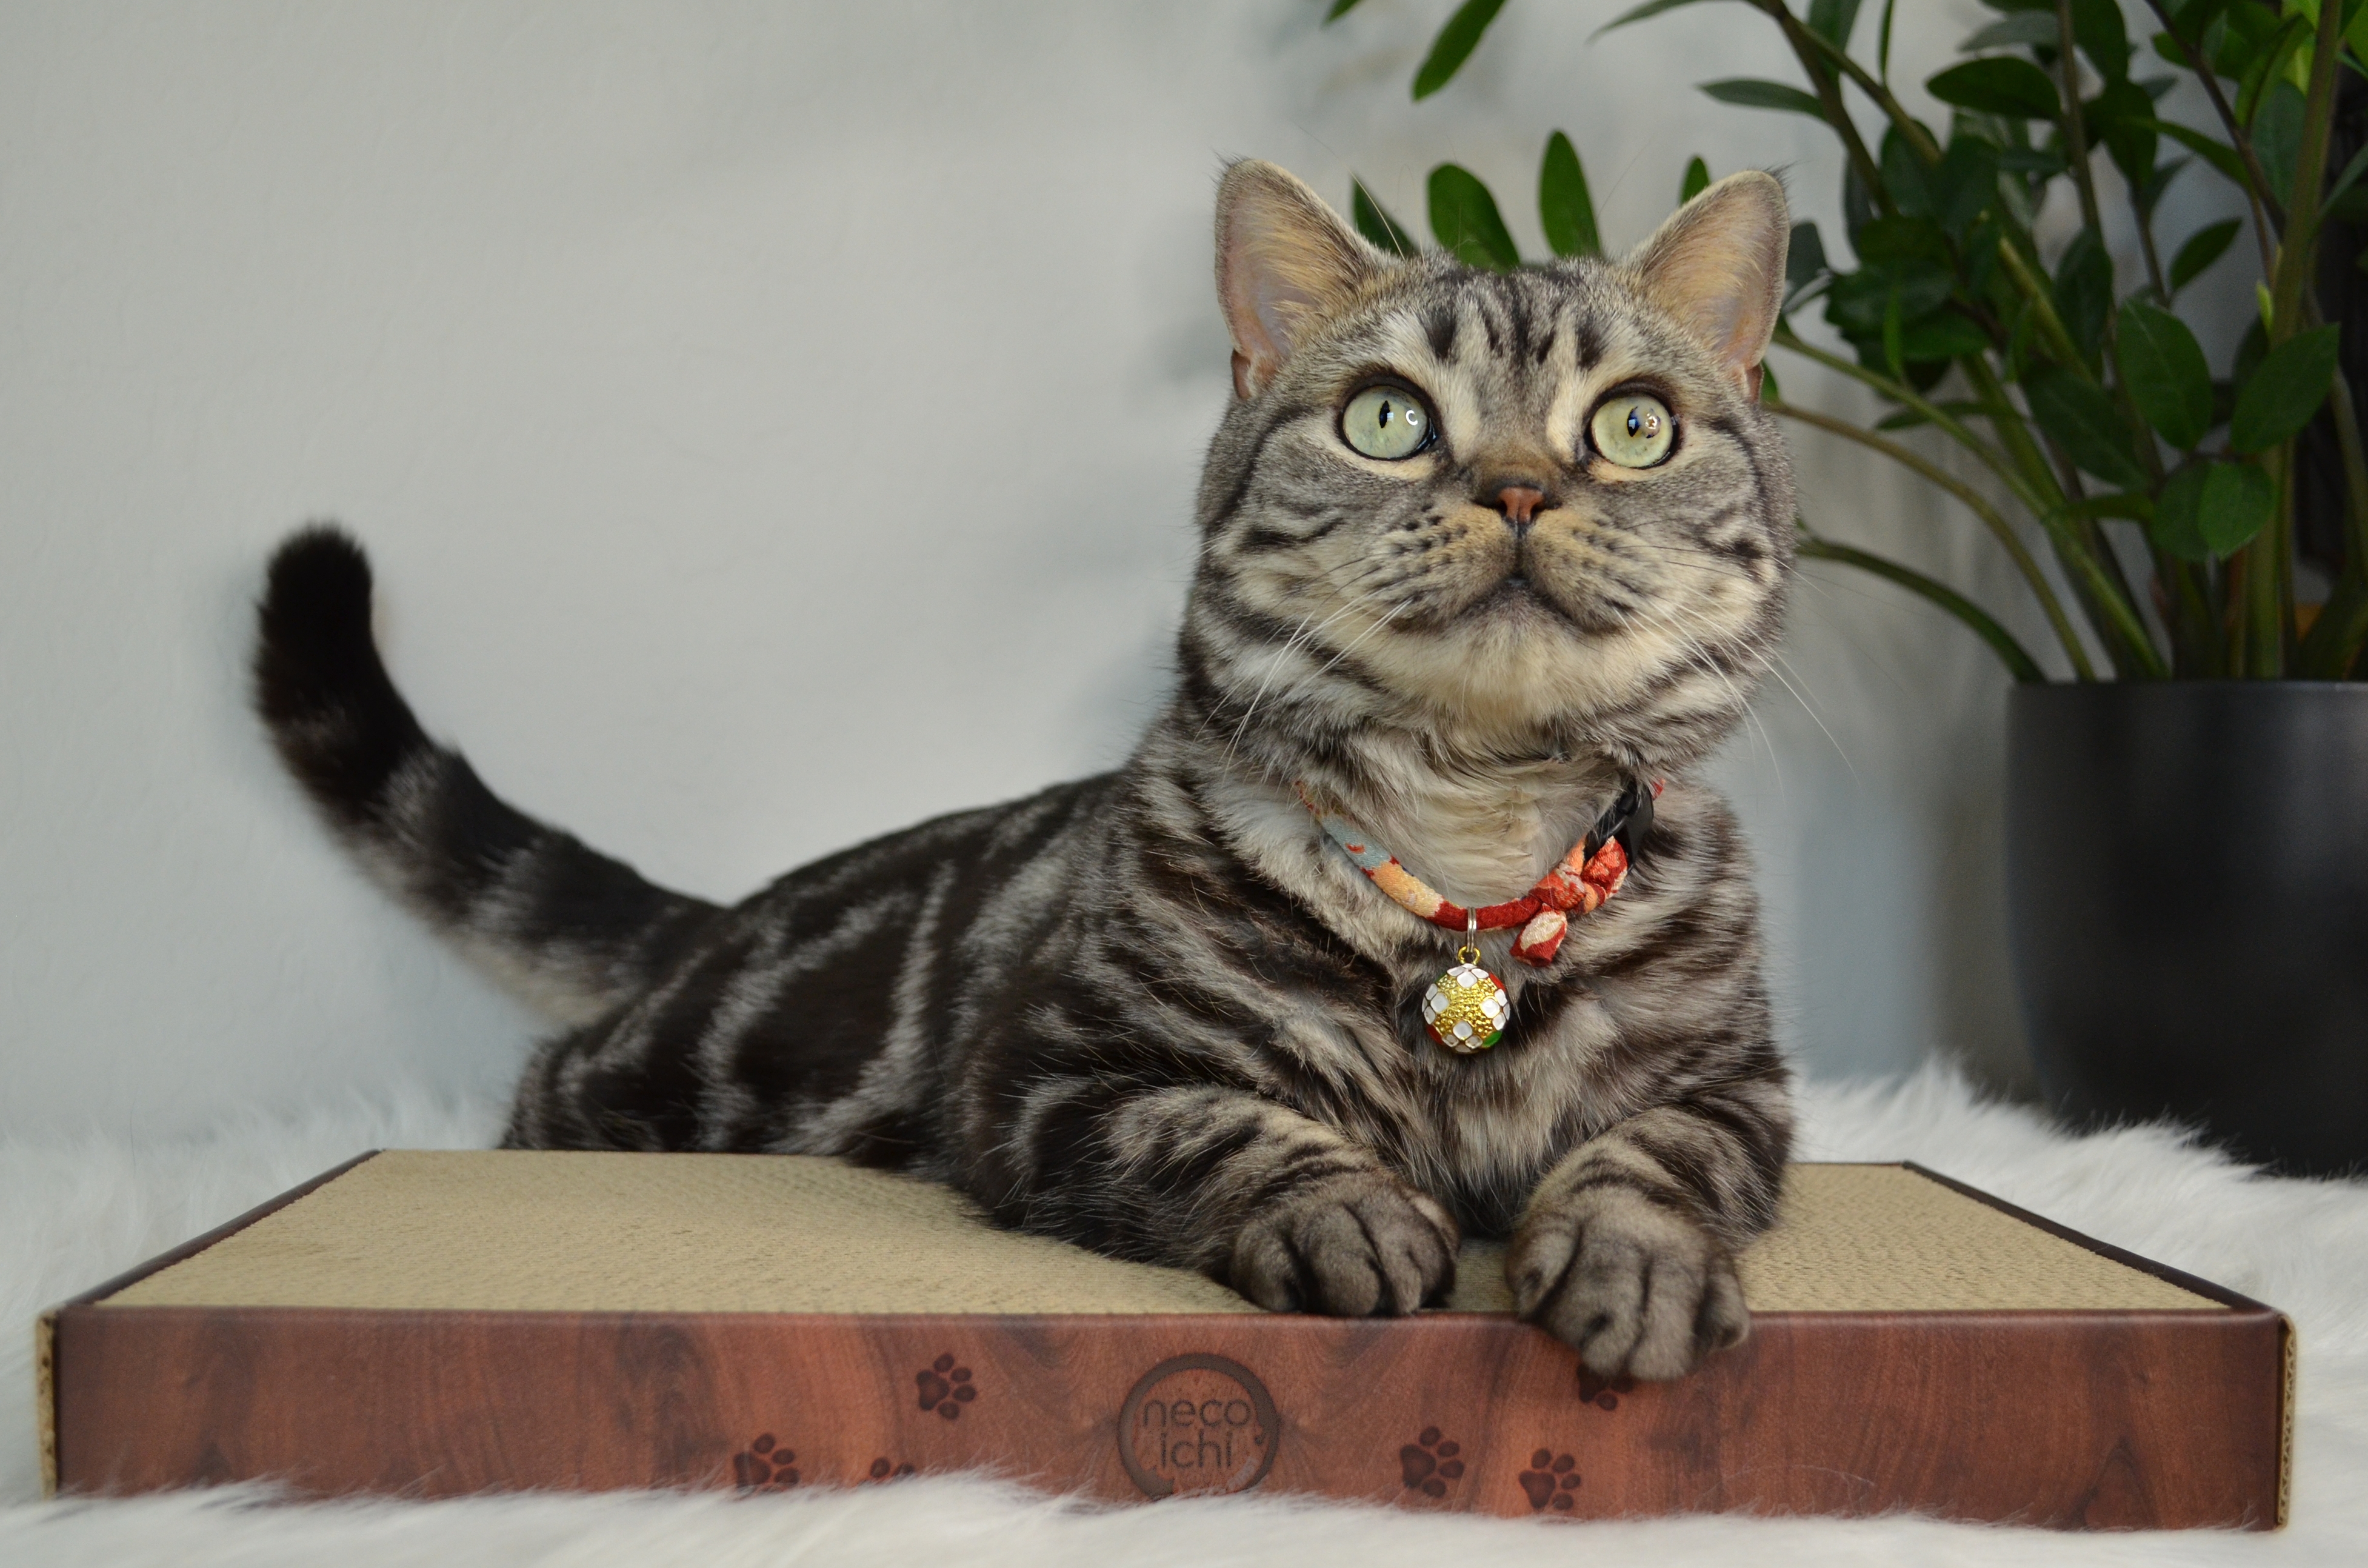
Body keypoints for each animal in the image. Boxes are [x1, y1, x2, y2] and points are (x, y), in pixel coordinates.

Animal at [255, 159, 1790, 1383]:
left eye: (1634, 426)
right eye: (1387, 420)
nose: (1520, 487)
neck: (1474, 825)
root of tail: (736, 913)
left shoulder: (1742, 1086)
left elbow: (1657, 1155)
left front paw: (1637, 1257)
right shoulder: (1049, 1075)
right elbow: (1225, 1123)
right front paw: (1339, 1206)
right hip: (673, 1073)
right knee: (544, 1080)